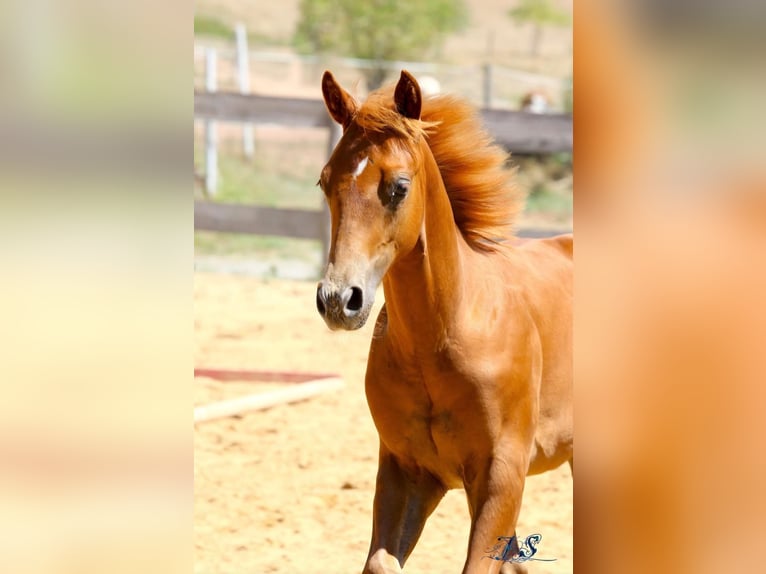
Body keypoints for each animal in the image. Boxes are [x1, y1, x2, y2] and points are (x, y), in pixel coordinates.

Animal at [315, 70, 573, 574]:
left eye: (398, 186)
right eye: (324, 182)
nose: (339, 300)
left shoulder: (501, 475)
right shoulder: (408, 471)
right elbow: (380, 562)